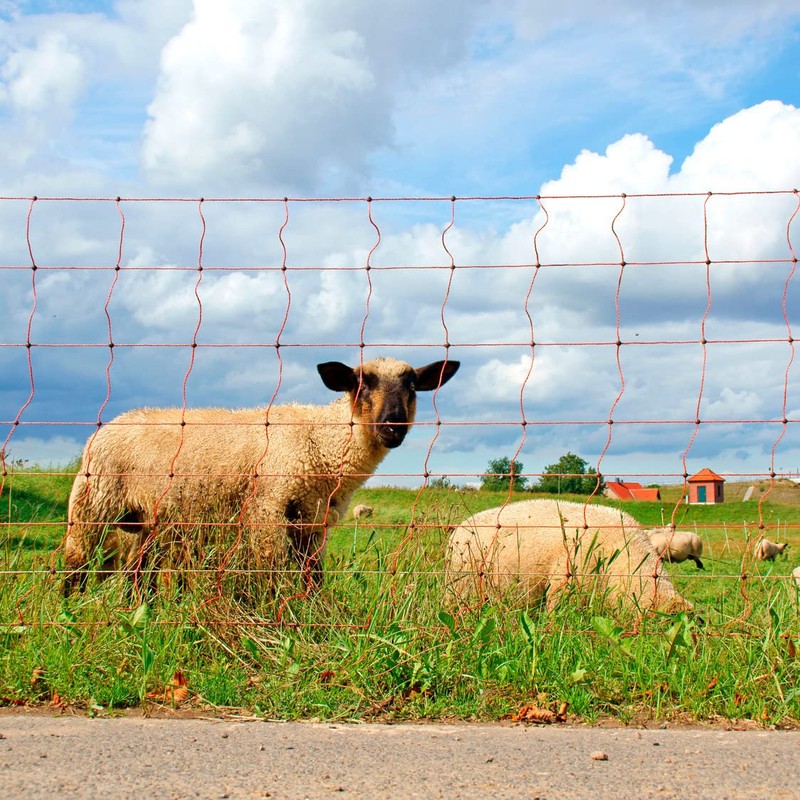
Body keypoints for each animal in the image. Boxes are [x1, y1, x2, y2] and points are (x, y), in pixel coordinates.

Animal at [62, 356, 460, 595]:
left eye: (412, 386)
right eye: (361, 384)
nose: (393, 425)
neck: (322, 440)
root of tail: (107, 426)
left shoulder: (313, 518)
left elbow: (313, 574)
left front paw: (315, 613)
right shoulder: (268, 506)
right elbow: (270, 568)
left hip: (144, 521)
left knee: (135, 572)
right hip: (93, 503)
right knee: (76, 562)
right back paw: (71, 612)